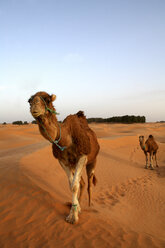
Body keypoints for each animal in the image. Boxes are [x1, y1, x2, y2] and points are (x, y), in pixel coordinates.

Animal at [28, 92, 99, 224]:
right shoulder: (63, 161)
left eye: (47, 99)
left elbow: (74, 186)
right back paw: (79, 206)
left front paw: (73, 217)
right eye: (29, 100)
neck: (66, 139)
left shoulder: (82, 156)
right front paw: (74, 211)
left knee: (89, 184)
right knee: (82, 182)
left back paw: (89, 204)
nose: (34, 106)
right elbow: (71, 185)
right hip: (73, 164)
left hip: (92, 160)